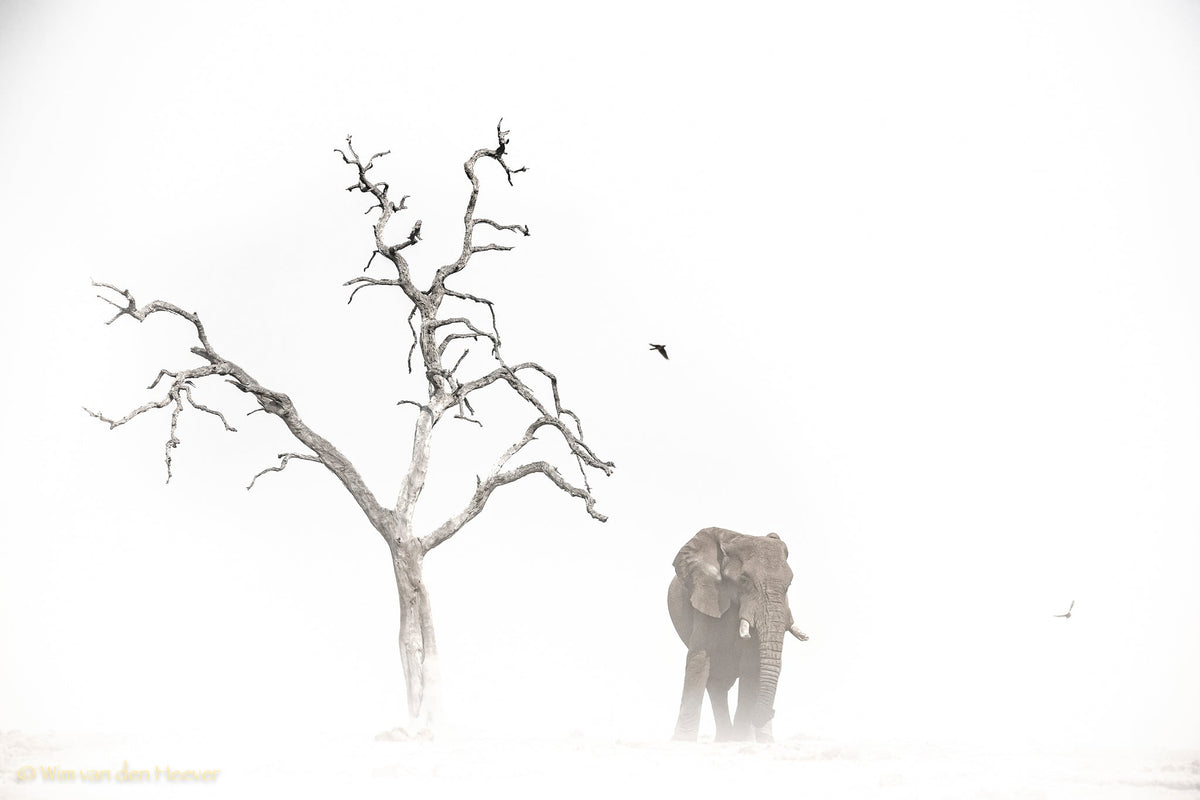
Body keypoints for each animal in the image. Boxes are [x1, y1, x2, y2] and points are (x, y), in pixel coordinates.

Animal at [668, 527, 808, 742]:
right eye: (744, 579)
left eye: (789, 585)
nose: (772, 712)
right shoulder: (707, 596)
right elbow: (699, 659)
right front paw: (682, 741)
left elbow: (751, 666)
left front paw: (741, 738)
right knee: (715, 683)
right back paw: (724, 739)